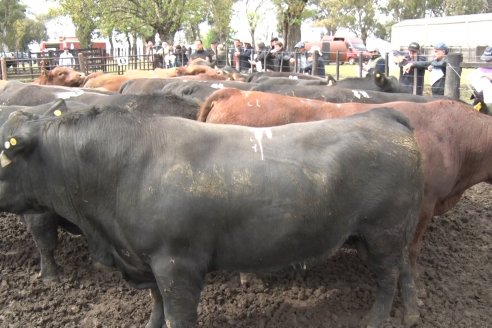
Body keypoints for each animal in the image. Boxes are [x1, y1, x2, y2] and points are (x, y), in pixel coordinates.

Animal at [0, 105, 422, 328]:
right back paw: (412, 313)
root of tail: (383, 116)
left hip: (383, 231)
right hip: (384, 235)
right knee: (404, 269)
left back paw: (375, 319)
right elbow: (156, 303)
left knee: (387, 278)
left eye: (4, 157)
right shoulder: (145, 260)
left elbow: (177, 314)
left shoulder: (177, 263)